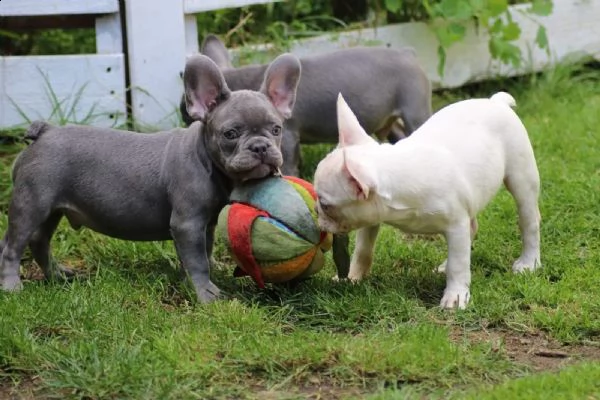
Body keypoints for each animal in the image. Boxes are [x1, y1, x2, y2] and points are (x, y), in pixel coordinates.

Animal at [0, 54, 300, 304]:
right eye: (230, 134)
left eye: (276, 129)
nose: (260, 147)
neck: (204, 158)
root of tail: (46, 132)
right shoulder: (187, 224)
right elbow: (198, 261)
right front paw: (206, 294)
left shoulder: (205, 224)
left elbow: (202, 253)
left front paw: (193, 281)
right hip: (32, 204)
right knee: (13, 246)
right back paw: (12, 286)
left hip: (51, 209)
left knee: (39, 241)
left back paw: (58, 276)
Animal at [180, 35, 434, 176]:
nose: (183, 115)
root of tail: (408, 53)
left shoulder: (288, 135)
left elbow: (288, 162)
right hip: (389, 119)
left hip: (415, 110)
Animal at [316, 92, 540, 308]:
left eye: (326, 206)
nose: (316, 215)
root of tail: (496, 101)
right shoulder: (372, 216)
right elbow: (363, 250)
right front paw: (353, 277)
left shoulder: (456, 225)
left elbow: (459, 264)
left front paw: (455, 295)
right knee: (472, 228)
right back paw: (444, 266)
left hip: (522, 178)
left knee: (529, 221)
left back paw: (529, 262)